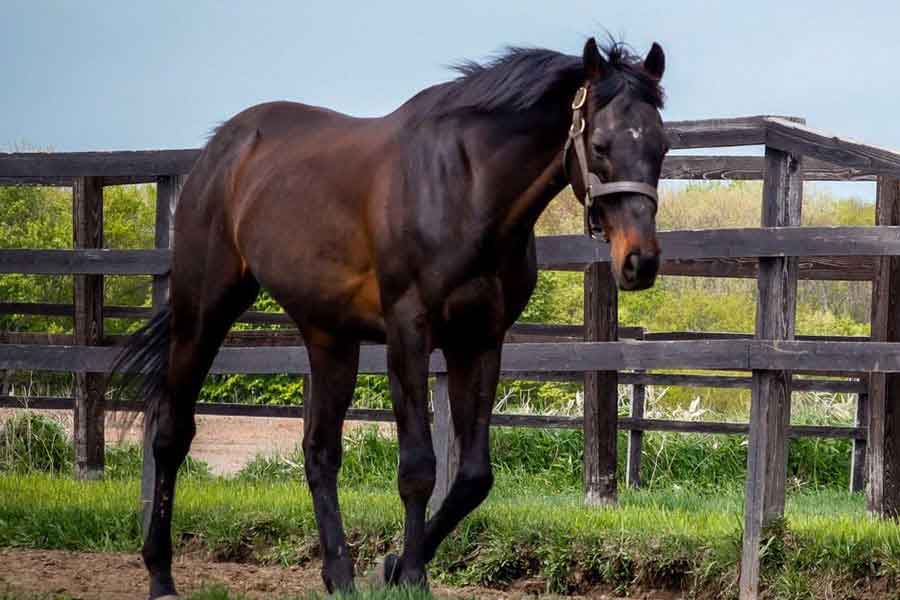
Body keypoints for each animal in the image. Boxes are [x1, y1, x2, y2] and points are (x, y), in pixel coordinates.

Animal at [115, 36, 668, 599]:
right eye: (600, 145)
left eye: (661, 147)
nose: (640, 261)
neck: (466, 188)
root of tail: (221, 149)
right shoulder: (409, 334)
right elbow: (418, 468)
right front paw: (412, 574)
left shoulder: (479, 340)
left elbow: (473, 477)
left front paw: (395, 566)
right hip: (203, 311)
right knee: (171, 434)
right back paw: (160, 573)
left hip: (330, 337)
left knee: (319, 453)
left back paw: (339, 574)